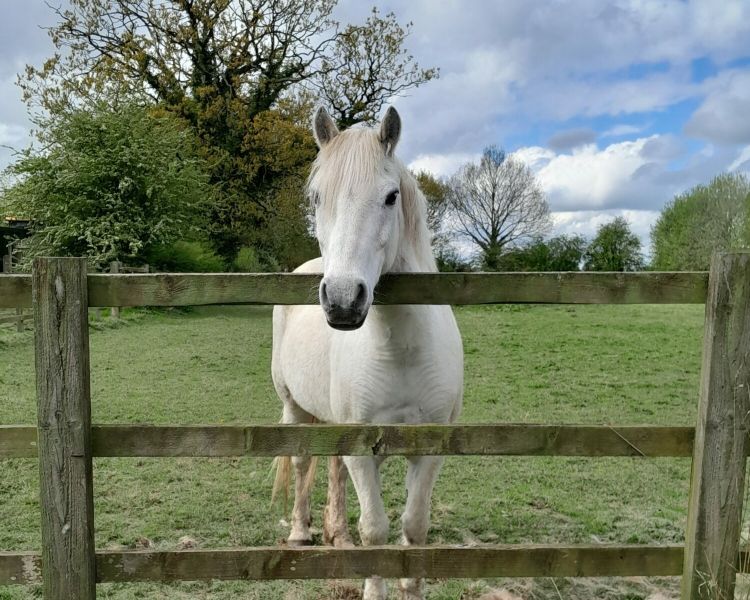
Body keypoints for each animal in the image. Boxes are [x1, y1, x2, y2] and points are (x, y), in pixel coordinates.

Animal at [271, 106, 464, 600]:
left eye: (391, 197)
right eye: (316, 197)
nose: (342, 299)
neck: (401, 352)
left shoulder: (429, 449)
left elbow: (414, 527)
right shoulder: (362, 448)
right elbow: (375, 531)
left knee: (334, 470)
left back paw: (336, 535)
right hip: (293, 407)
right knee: (302, 462)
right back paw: (301, 533)